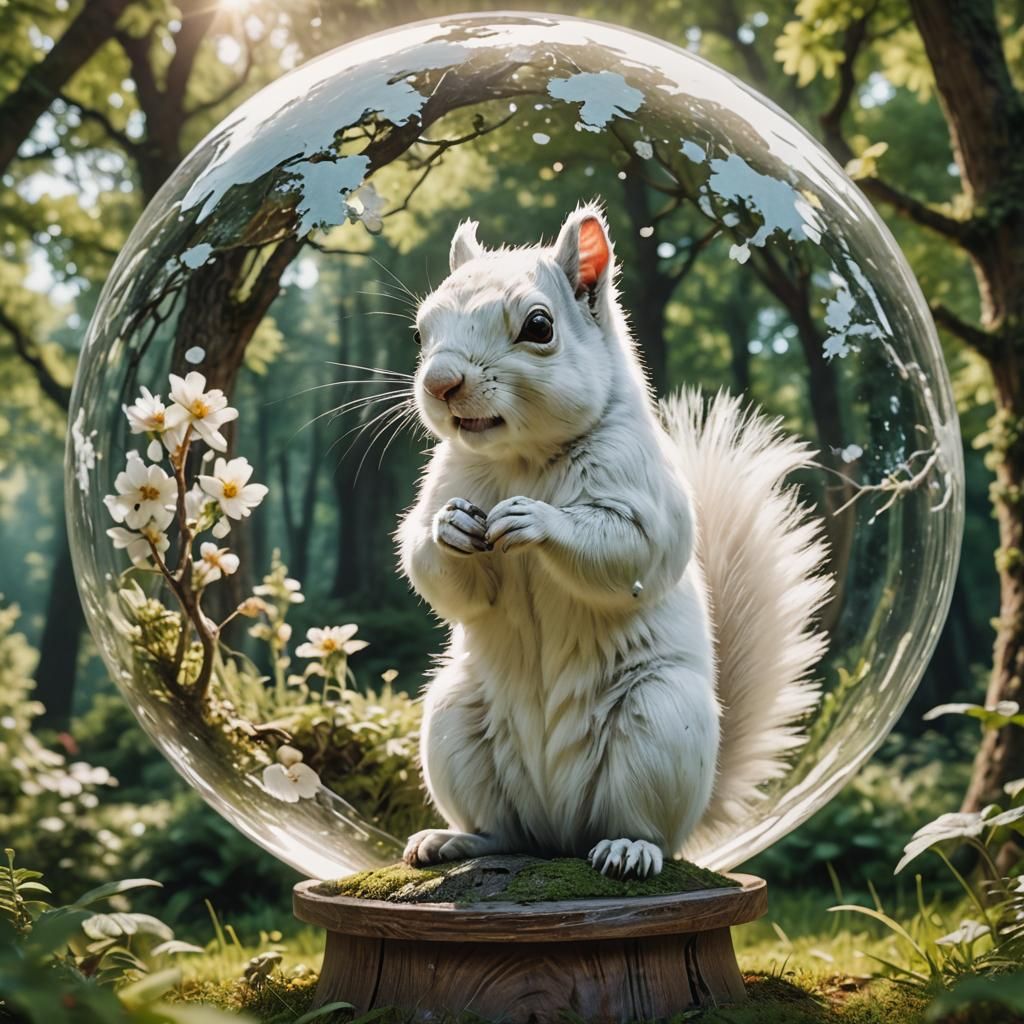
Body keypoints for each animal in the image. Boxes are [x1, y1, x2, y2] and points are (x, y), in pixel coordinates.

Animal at [397, 203, 831, 879]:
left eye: (539, 326)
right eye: (420, 333)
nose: (440, 382)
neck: (524, 460)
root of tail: (557, 830)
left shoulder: (645, 496)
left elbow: (631, 550)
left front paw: (537, 521)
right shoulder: (447, 480)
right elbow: (432, 567)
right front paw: (450, 530)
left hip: (659, 724)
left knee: (639, 825)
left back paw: (629, 849)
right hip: (454, 722)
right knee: (503, 828)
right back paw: (455, 841)